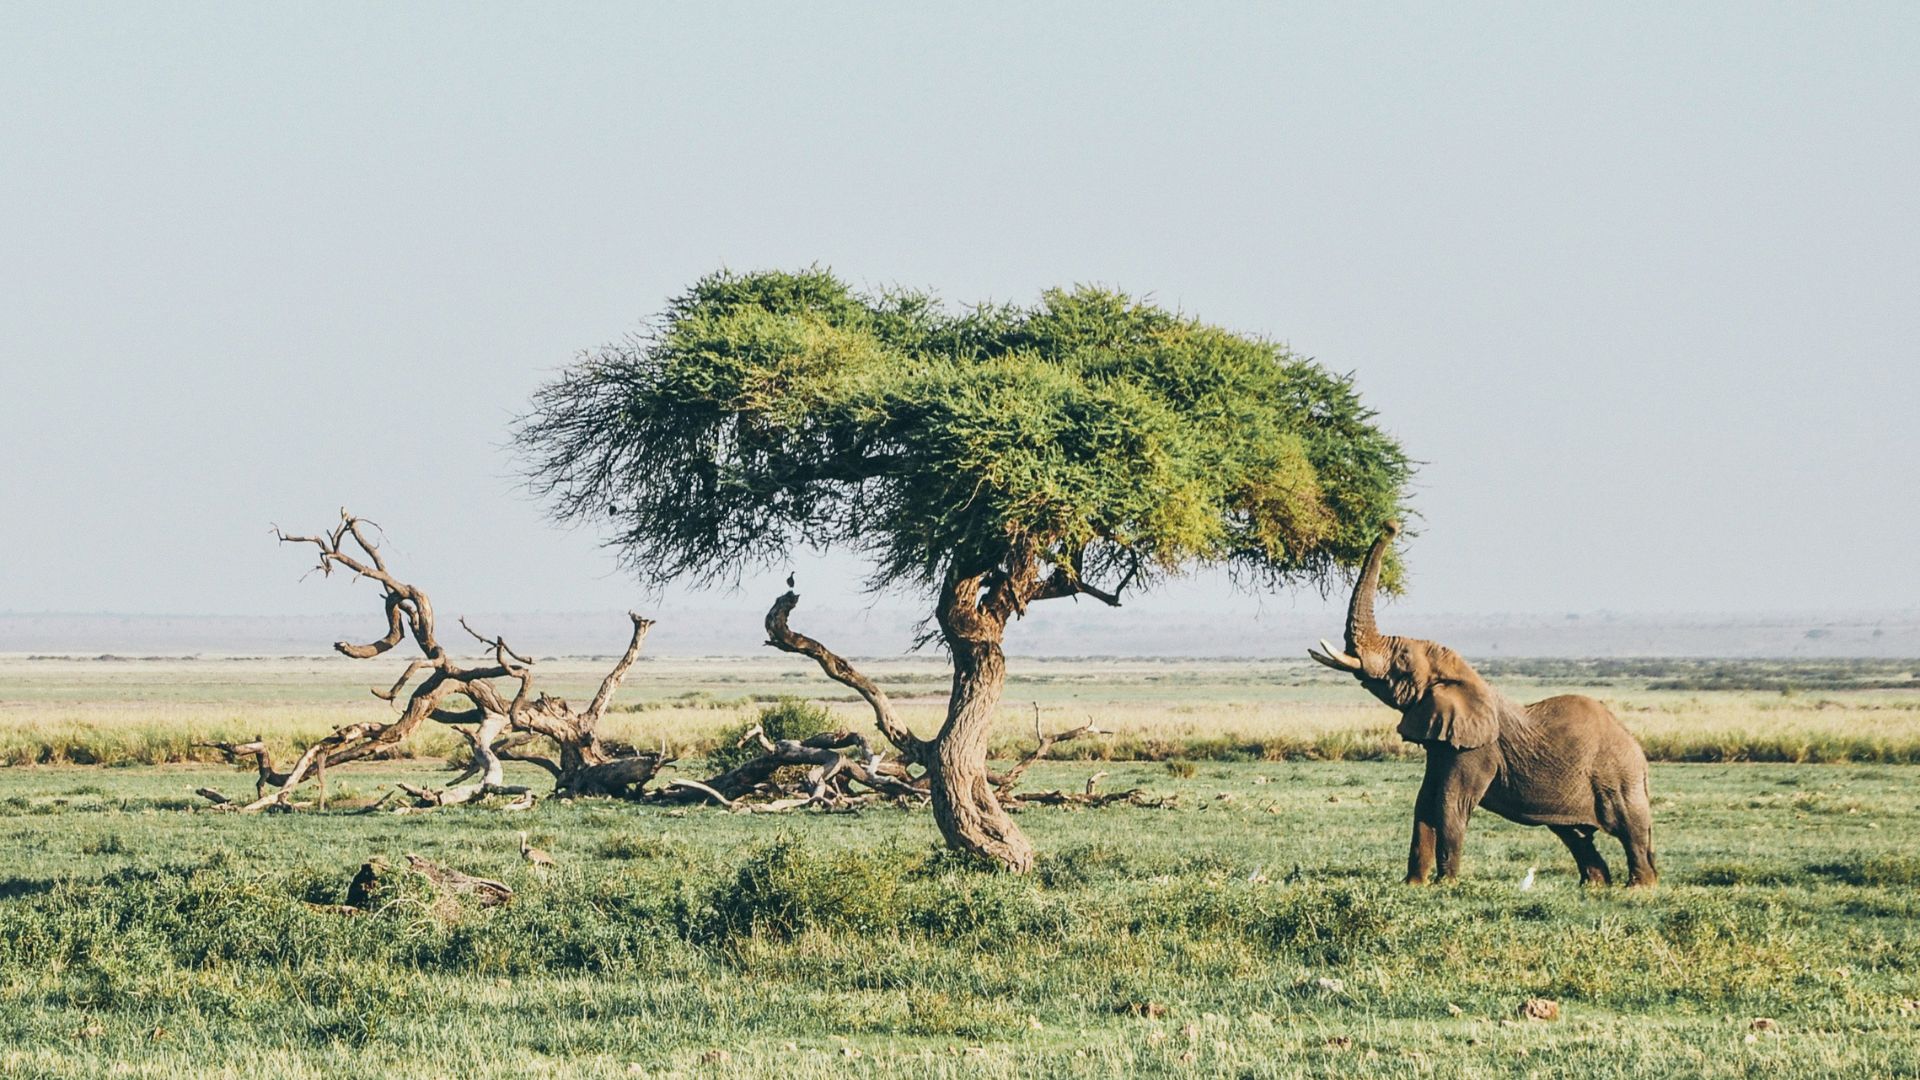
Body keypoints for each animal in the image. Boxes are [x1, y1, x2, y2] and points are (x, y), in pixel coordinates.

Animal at [1307, 522, 1657, 887]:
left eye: (1402, 659)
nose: (1391, 525)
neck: (1464, 676)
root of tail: (1638, 750)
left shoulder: (1476, 749)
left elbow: (1450, 803)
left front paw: (1446, 884)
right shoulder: (1443, 741)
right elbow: (1425, 801)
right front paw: (1414, 884)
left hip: (1618, 778)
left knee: (1631, 829)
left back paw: (1638, 887)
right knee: (1574, 834)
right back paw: (1594, 885)